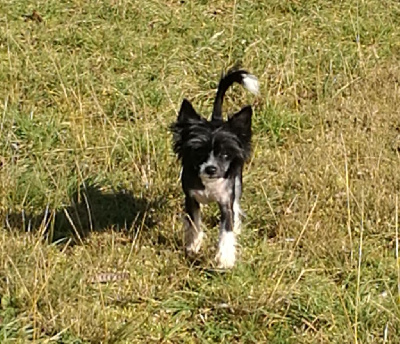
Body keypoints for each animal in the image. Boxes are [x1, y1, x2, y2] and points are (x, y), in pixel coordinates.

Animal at [170, 68, 258, 268]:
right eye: (198, 153)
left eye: (225, 155)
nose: (211, 169)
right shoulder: (191, 198)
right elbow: (194, 222)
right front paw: (193, 246)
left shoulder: (225, 202)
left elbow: (226, 229)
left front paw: (225, 259)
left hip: (237, 182)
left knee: (236, 204)